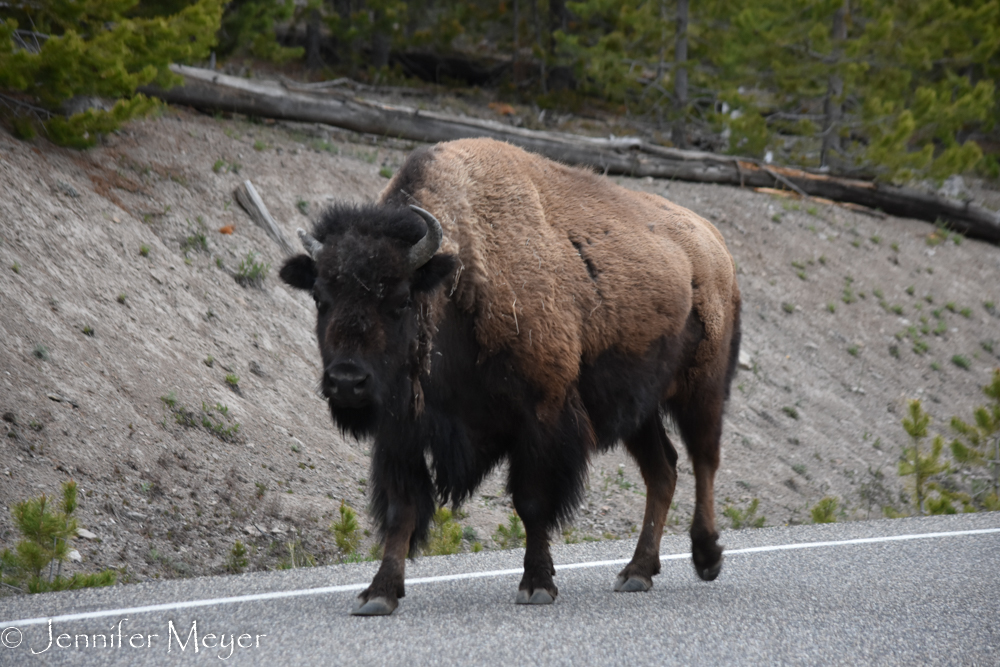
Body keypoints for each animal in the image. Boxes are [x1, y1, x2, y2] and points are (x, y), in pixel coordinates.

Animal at [278, 137, 740, 616]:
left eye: (402, 299)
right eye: (320, 297)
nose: (346, 381)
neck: (456, 279)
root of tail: (714, 244)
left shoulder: (542, 417)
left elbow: (531, 502)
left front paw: (536, 585)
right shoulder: (401, 432)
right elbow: (401, 509)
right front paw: (379, 593)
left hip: (702, 388)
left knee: (704, 459)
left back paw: (706, 557)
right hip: (639, 407)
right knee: (662, 470)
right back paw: (637, 572)